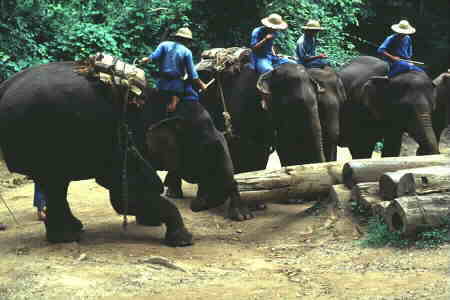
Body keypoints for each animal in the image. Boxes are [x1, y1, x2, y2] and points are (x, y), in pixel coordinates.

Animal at [0, 62, 243, 245]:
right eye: (208, 149)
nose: (197, 204)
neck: (157, 103)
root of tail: (5, 86)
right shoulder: (120, 144)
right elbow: (123, 194)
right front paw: (183, 240)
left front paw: (150, 222)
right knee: (54, 183)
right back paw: (67, 237)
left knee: (56, 185)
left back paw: (74, 230)